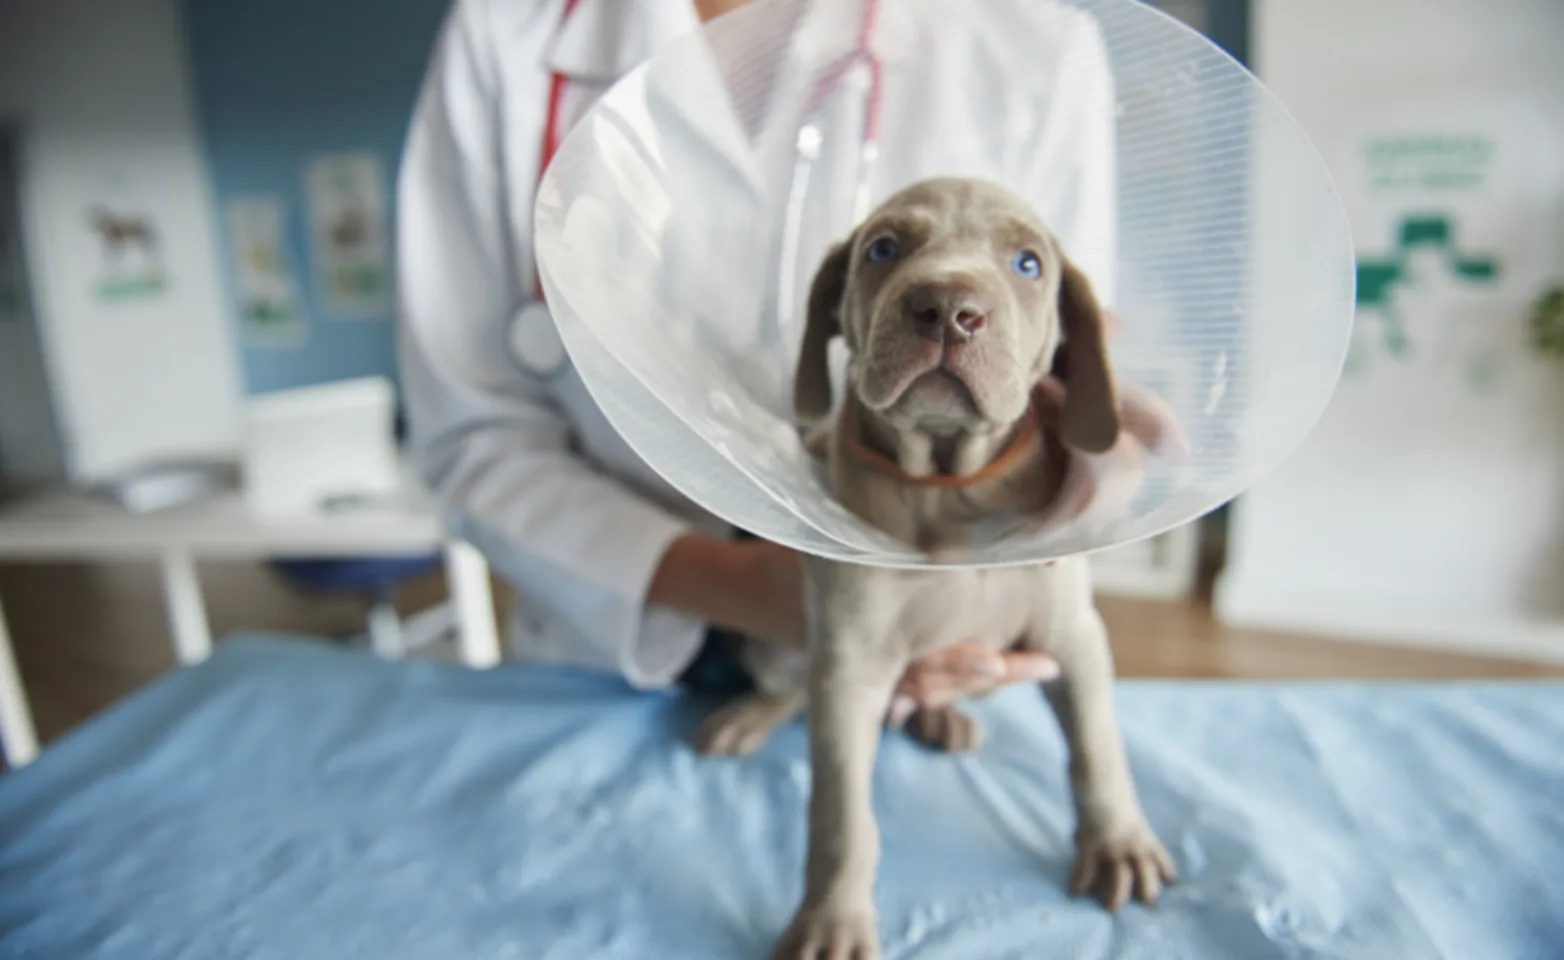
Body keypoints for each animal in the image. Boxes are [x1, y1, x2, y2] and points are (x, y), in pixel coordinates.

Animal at [697, 179, 1176, 960]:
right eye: (883, 249)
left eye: (1027, 263)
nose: (949, 309)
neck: (949, 485)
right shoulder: (851, 664)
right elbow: (841, 814)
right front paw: (831, 919)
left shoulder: (1072, 635)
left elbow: (1098, 744)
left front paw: (1118, 842)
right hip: (777, 648)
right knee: (790, 686)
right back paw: (748, 716)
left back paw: (942, 716)